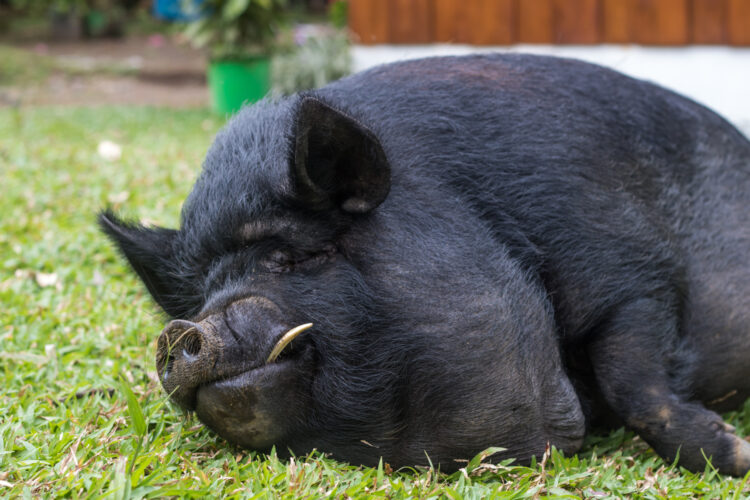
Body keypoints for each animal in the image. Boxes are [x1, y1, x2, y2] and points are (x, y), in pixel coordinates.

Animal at [100, 54, 750, 475]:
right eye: (204, 291)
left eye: (291, 256)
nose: (182, 329)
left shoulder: (634, 270)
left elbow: (635, 378)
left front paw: (736, 457)